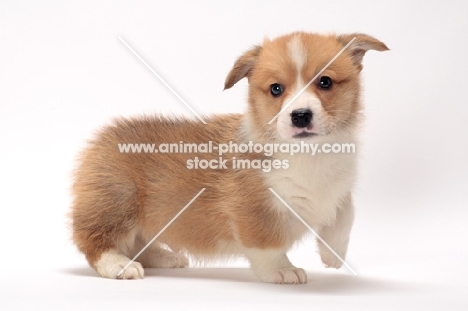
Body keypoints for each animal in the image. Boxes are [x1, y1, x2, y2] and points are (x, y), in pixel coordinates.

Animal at [72, 32, 388, 286]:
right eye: (276, 89)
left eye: (325, 82)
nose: (300, 116)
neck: (310, 153)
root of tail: (101, 139)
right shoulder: (253, 208)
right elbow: (268, 243)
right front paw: (282, 270)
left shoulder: (339, 187)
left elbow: (345, 212)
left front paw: (333, 254)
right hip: (119, 200)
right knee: (94, 240)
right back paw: (120, 265)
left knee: (140, 241)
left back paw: (164, 257)